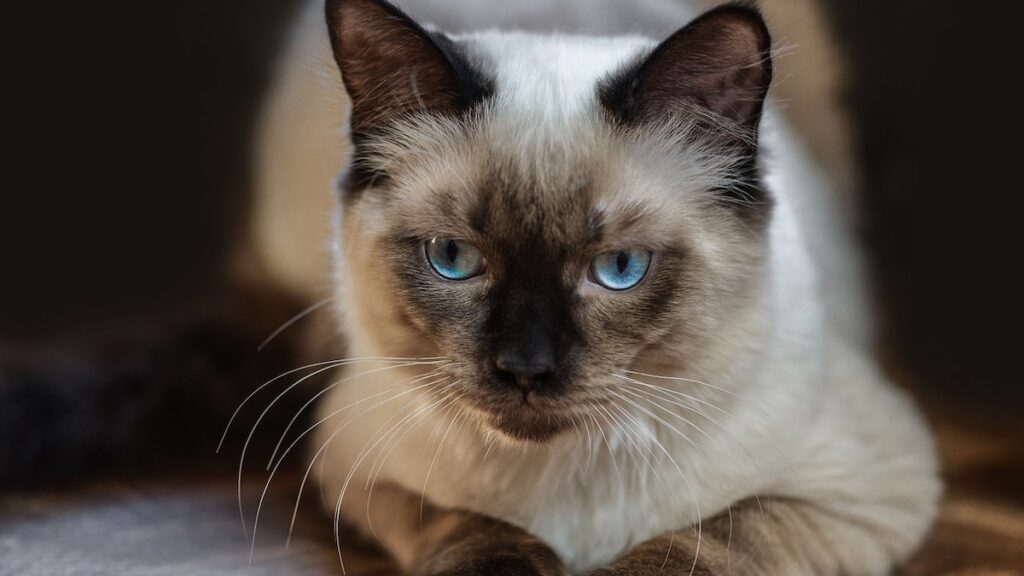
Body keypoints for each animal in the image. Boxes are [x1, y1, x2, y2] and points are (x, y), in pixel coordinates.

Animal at [251, 1, 937, 573]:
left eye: (620, 268)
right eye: (453, 258)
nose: (525, 369)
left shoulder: (856, 495)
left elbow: (707, 538)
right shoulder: (361, 475)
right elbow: (468, 523)